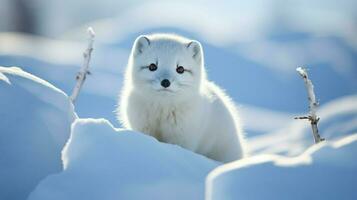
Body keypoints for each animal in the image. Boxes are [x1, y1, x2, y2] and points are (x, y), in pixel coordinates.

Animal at [117, 33, 245, 162]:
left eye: (180, 69)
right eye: (152, 66)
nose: (165, 82)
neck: (162, 111)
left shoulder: (183, 138)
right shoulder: (142, 128)